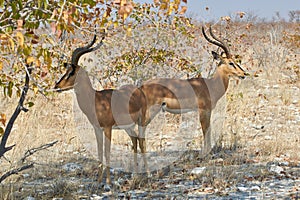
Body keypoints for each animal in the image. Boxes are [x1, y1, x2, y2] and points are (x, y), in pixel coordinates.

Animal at [54, 34, 148, 184]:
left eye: (71, 72)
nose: (57, 86)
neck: (95, 100)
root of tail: (138, 90)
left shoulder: (108, 128)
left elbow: (107, 152)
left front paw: (108, 182)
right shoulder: (97, 128)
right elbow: (99, 151)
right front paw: (98, 180)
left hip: (141, 121)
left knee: (142, 142)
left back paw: (148, 173)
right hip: (127, 126)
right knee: (135, 140)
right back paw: (136, 173)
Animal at [139, 25, 247, 153]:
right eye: (230, 63)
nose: (243, 74)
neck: (210, 85)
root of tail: (142, 86)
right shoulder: (204, 110)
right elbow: (206, 130)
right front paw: (205, 153)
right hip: (151, 111)